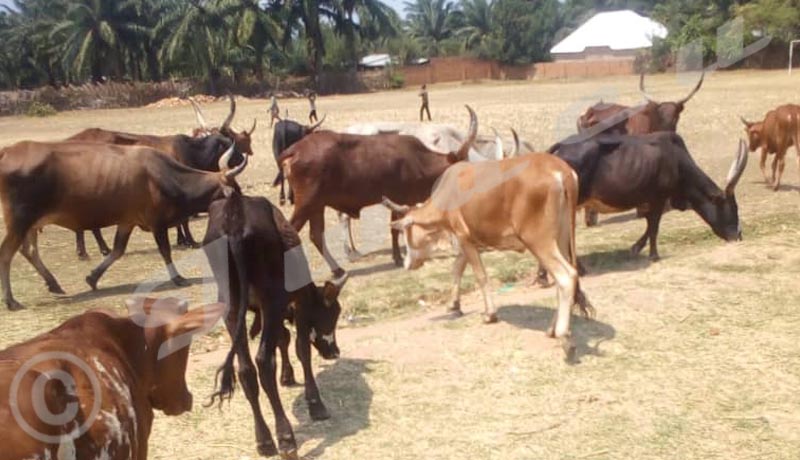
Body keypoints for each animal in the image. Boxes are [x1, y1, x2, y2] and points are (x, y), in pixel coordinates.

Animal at [0, 141, 247, 310]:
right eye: (235, 191)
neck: (166, 176)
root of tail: (8, 151)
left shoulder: (127, 222)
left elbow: (117, 250)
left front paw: (93, 277)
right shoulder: (157, 224)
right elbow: (165, 252)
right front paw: (177, 278)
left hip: (31, 224)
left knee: (29, 250)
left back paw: (53, 284)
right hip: (20, 221)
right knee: (7, 253)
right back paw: (11, 300)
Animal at [203, 178, 344, 458]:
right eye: (333, 313)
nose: (335, 352)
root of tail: (235, 215)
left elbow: (283, 339)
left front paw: (288, 376)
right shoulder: (297, 303)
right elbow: (302, 347)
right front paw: (316, 404)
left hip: (231, 306)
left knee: (246, 369)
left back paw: (265, 439)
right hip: (271, 299)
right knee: (263, 362)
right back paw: (286, 438)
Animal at [282, 105, 478, 274]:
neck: (418, 160)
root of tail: (294, 150)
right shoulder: (399, 199)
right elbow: (396, 229)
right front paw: (400, 258)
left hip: (317, 206)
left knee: (316, 236)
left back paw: (337, 270)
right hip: (306, 203)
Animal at [382, 154, 592, 360]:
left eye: (405, 232)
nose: (407, 264)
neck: (448, 192)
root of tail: (560, 169)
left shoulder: (463, 237)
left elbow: (480, 275)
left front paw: (489, 314)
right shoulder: (470, 241)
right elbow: (457, 268)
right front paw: (454, 305)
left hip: (539, 240)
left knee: (565, 275)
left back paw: (564, 337)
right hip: (562, 236)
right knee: (565, 276)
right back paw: (551, 329)